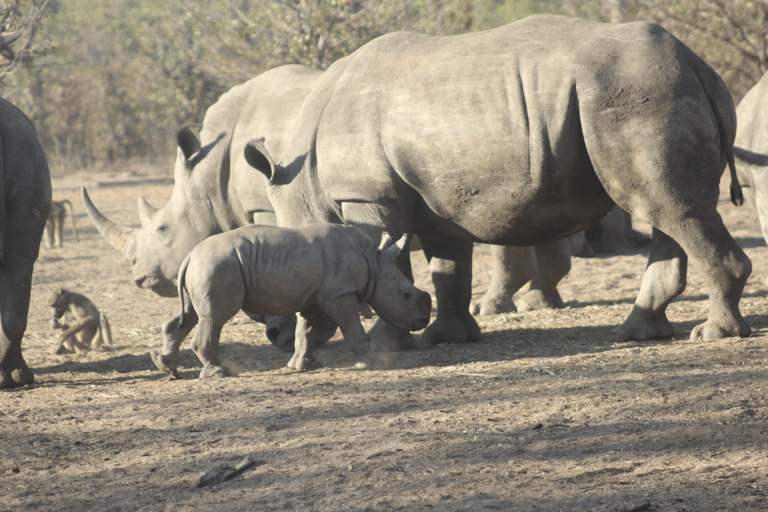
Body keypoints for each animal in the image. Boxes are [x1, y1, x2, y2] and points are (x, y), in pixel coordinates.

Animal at [150, 223, 431, 378]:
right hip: (217, 266)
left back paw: (167, 369)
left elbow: (305, 331)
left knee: (191, 314)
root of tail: (189, 256)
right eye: (406, 296)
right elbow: (353, 328)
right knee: (214, 317)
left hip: (205, 267)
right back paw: (218, 374)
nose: (424, 321)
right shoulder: (340, 293)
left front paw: (304, 366)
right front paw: (369, 363)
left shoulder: (315, 298)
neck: (374, 262)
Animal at [244, 14, 752, 346]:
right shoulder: (435, 200)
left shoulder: (368, 196)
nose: (272, 332)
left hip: (638, 93)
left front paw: (391, 344)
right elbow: (447, 268)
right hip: (655, 90)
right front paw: (446, 338)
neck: (304, 179)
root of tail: (698, 63)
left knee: (672, 210)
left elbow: (388, 262)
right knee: (668, 211)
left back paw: (711, 335)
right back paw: (639, 333)